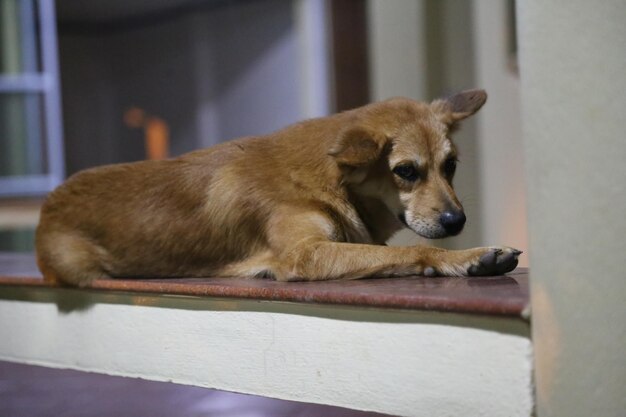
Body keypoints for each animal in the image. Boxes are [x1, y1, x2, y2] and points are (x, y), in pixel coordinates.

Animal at [36, 89, 520, 286]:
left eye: (451, 166)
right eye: (405, 171)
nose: (457, 221)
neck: (329, 180)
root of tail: (47, 205)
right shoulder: (304, 254)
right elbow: (413, 250)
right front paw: (469, 257)